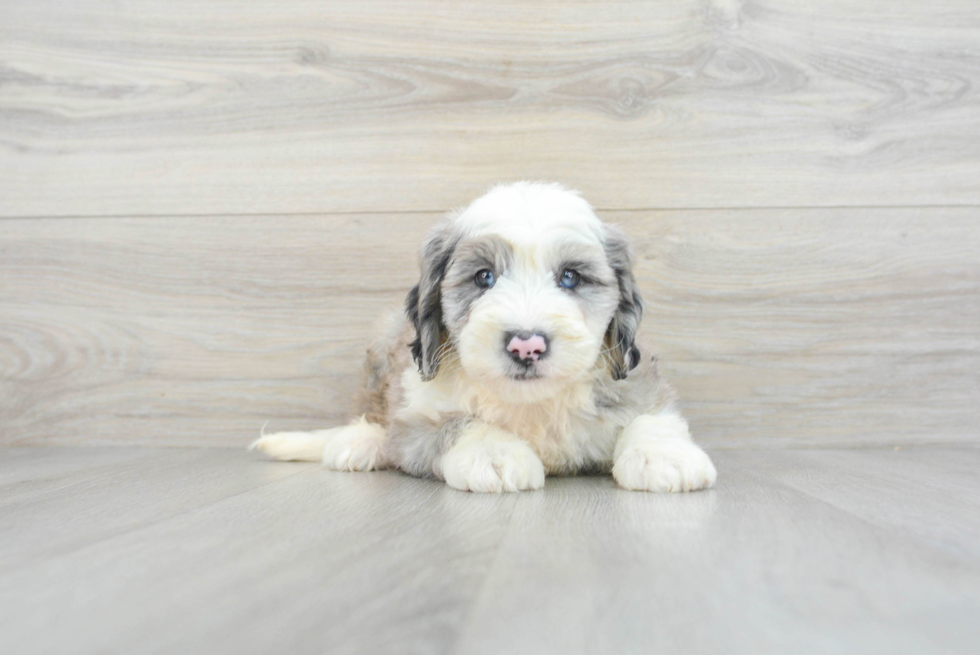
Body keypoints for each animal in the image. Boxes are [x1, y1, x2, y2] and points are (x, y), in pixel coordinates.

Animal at [249, 182, 716, 494]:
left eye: (570, 277)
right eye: (484, 277)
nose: (527, 345)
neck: (531, 405)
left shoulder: (634, 374)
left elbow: (651, 413)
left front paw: (663, 455)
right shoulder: (415, 416)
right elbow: (457, 423)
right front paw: (495, 454)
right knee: (371, 414)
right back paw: (360, 441)